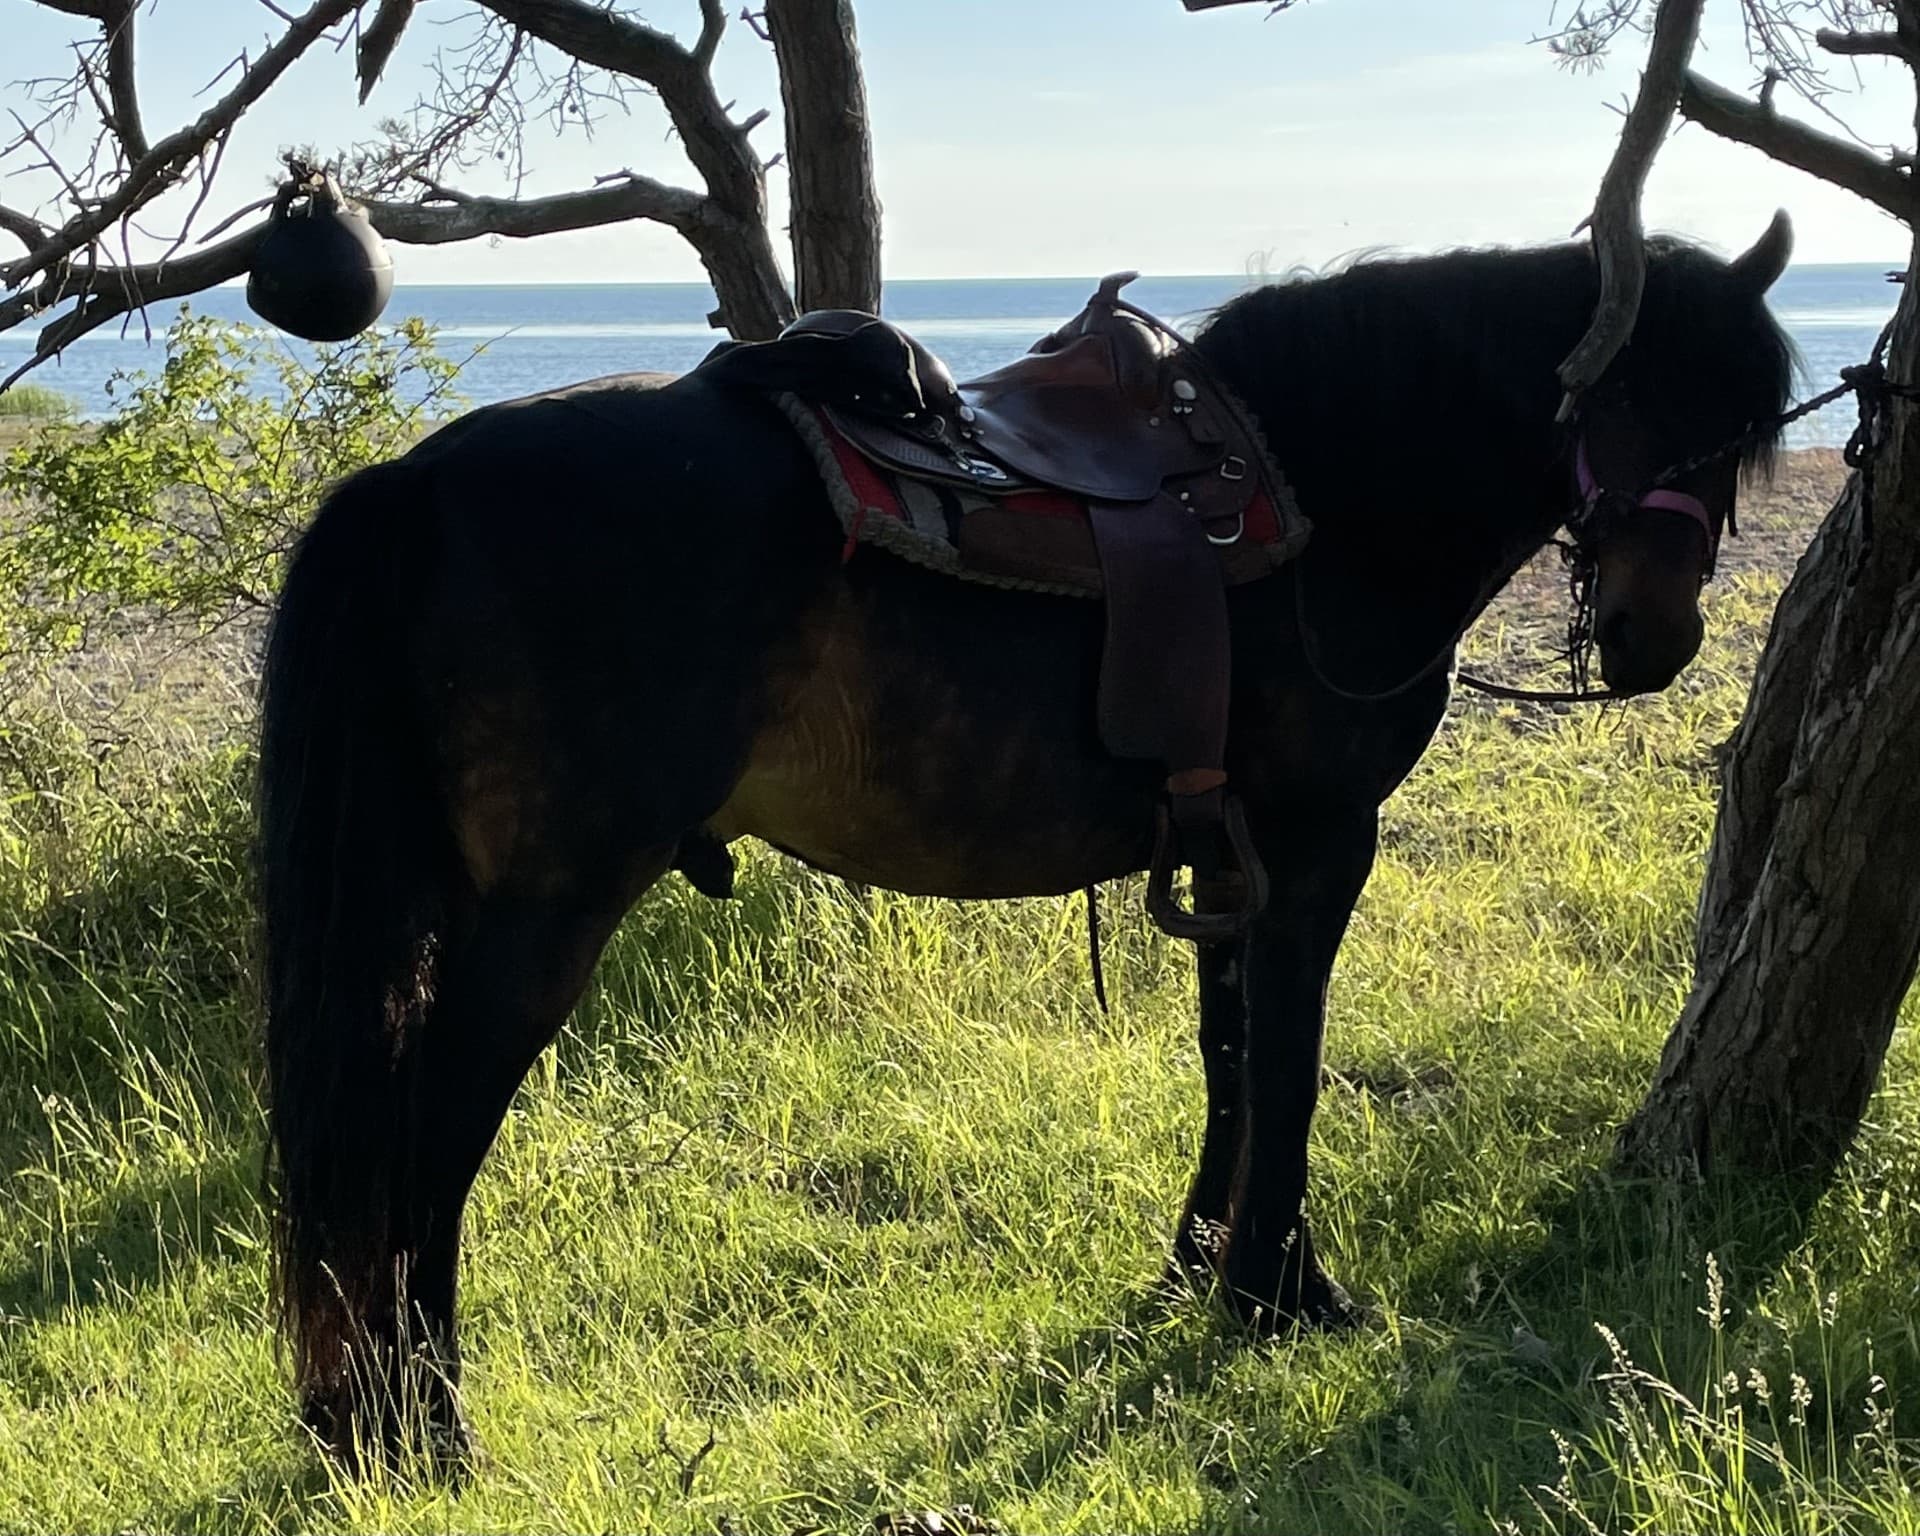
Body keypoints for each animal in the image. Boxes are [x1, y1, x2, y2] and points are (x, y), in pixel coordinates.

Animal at [259, 216, 1797, 1466]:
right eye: (1634, 396)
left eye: (1739, 434)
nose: (1654, 640)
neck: (1326, 496)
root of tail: (421, 482)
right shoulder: (1319, 842)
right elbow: (1290, 1061)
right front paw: (1280, 1291)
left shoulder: (1228, 848)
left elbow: (1231, 1056)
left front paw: (1199, 1271)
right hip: (549, 912)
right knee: (429, 1138)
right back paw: (426, 1425)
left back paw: (363, 1423)